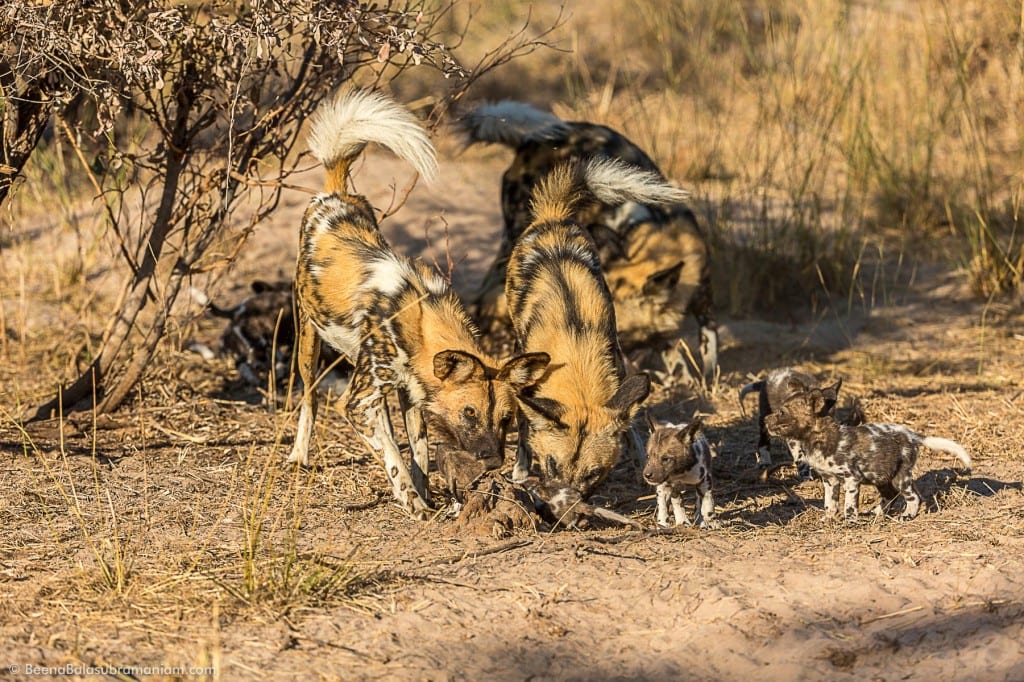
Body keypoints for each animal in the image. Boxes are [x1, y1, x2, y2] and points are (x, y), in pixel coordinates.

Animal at [292, 90, 552, 516]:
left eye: (506, 419)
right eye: (469, 414)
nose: (494, 461)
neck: (418, 320)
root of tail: (334, 194)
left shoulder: (408, 393)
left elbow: (419, 455)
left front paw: (427, 494)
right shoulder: (357, 402)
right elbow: (395, 459)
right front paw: (415, 505)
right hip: (308, 342)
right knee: (309, 399)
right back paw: (298, 455)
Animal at [460, 101, 716, 387]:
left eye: (619, 329)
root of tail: (532, 141)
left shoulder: (704, 306)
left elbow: (706, 349)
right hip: (515, 240)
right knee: (485, 297)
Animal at [503, 157, 688, 497]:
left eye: (594, 474)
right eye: (552, 465)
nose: (566, 506)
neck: (575, 347)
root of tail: (553, 216)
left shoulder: (620, 374)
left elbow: (630, 424)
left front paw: (641, 460)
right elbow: (524, 425)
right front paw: (521, 469)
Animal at [765, 387, 970, 520]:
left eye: (782, 412)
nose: (765, 419)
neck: (816, 439)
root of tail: (911, 435)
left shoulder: (851, 478)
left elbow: (848, 505)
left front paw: (849, 522)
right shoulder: (830, 480)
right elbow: (830, 503)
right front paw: (828, 519)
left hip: (900, 477)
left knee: (913, 497)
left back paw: (907, 516)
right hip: (882, 477)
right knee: (891, 495)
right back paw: (877, 513)